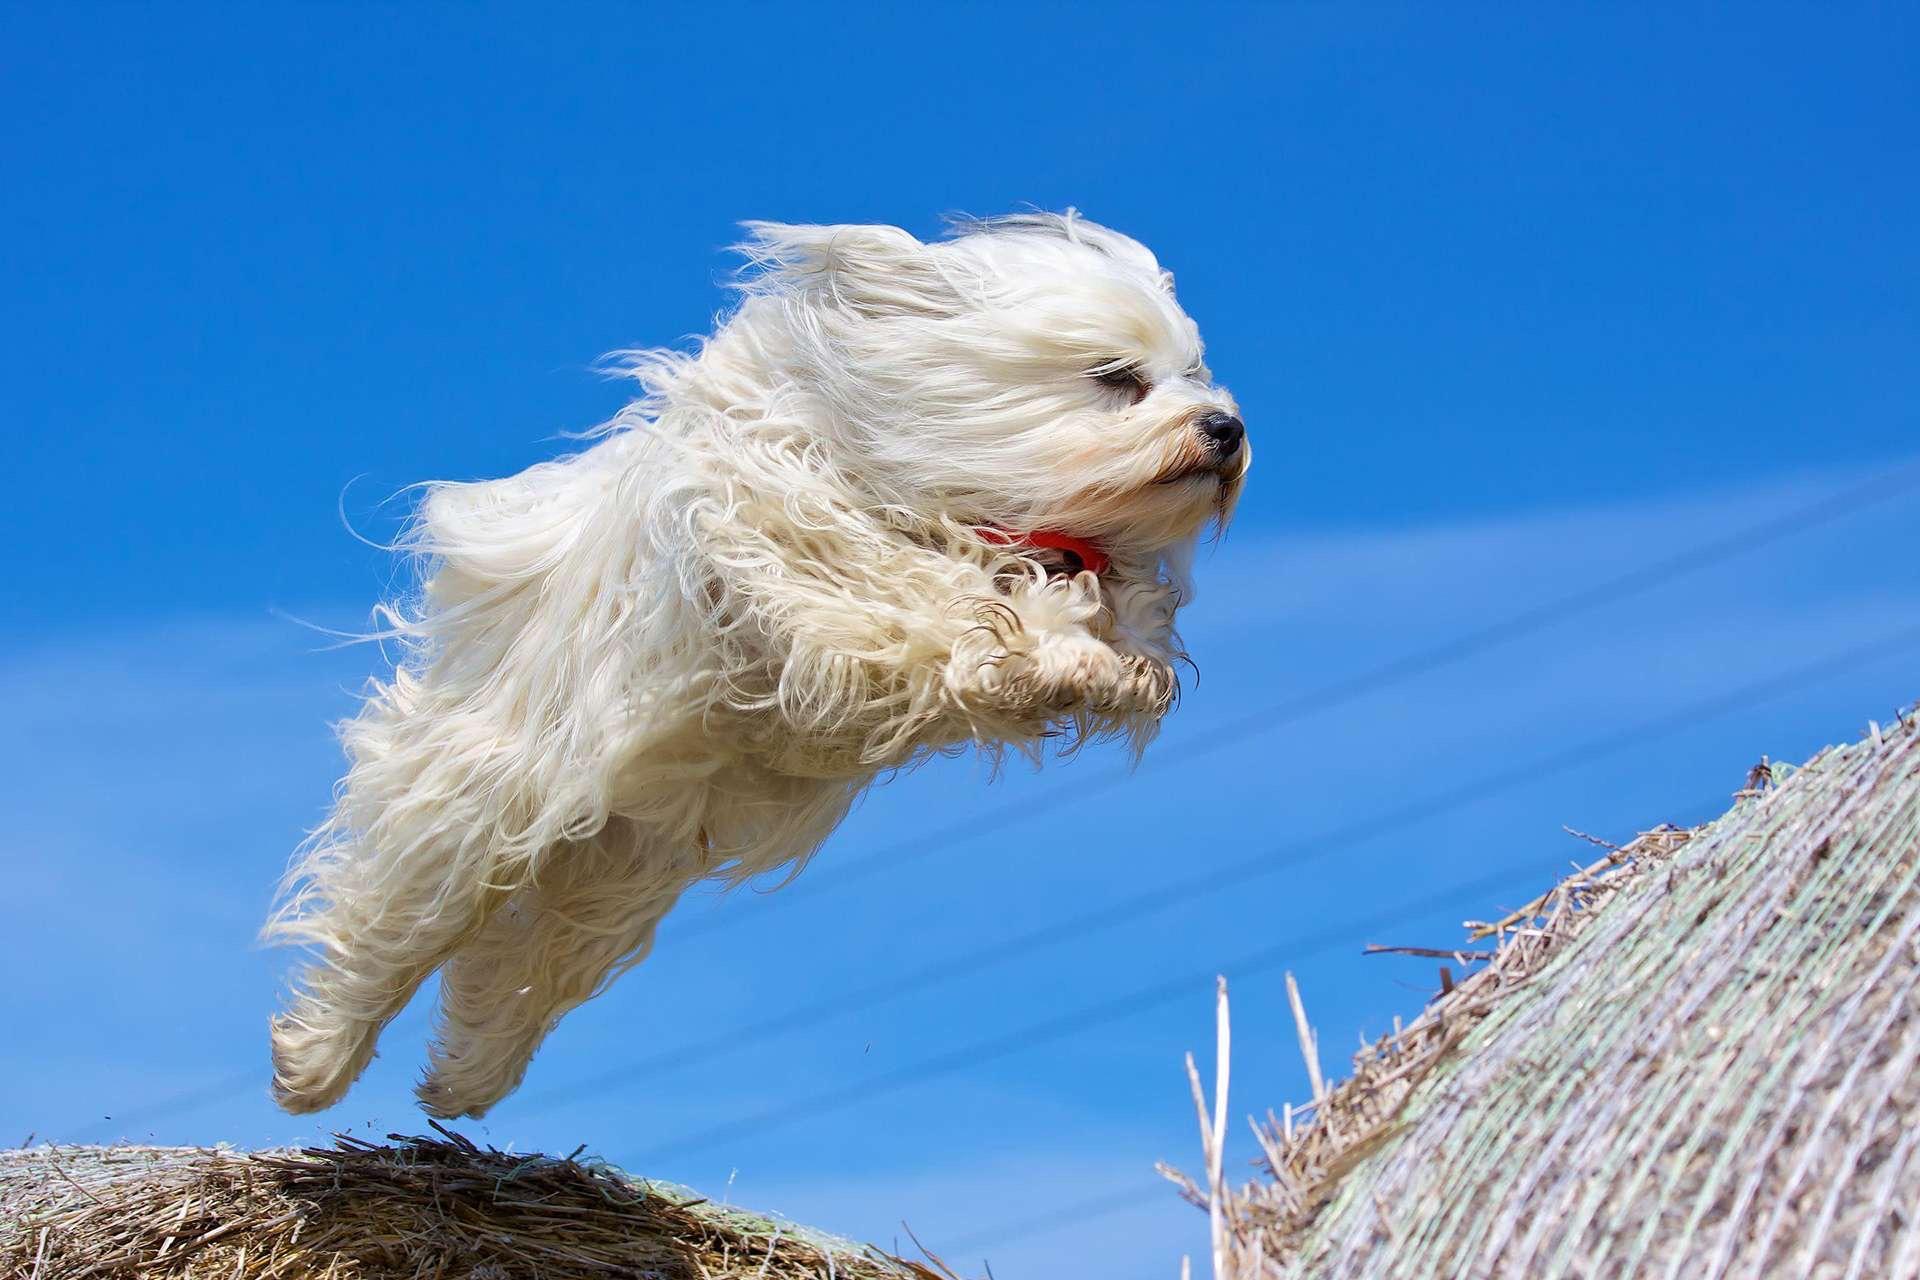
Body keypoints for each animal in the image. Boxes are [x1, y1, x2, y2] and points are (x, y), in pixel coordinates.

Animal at [266, 214, 1244, 1113]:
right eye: (1116, 378)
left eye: (1194, 374)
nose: (1226, 427)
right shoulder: (798, 546)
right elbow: (925, 595)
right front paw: (1051, 641)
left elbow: (1107, 614)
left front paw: (1118, 660)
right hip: (488, 796)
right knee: (398, 918)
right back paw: (313, 1061)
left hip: (613, 868)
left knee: (524, 963)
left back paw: (462, 1079)